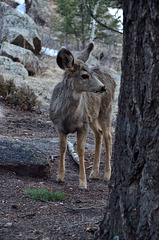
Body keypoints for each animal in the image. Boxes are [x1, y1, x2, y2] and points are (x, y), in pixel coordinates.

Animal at [49, 42, 115, 189]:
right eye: (84, 75)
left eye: (91, 73)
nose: (103, 87)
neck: (67, 117)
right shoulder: (59, 126)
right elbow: (62, 148)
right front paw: (59, 177)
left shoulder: (83, 125)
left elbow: (80, 150)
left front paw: (83, 184)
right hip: (92, 117)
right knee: (99, 133)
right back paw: (93, 174)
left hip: (106, 110)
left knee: (108, 136)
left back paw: (107, 175)